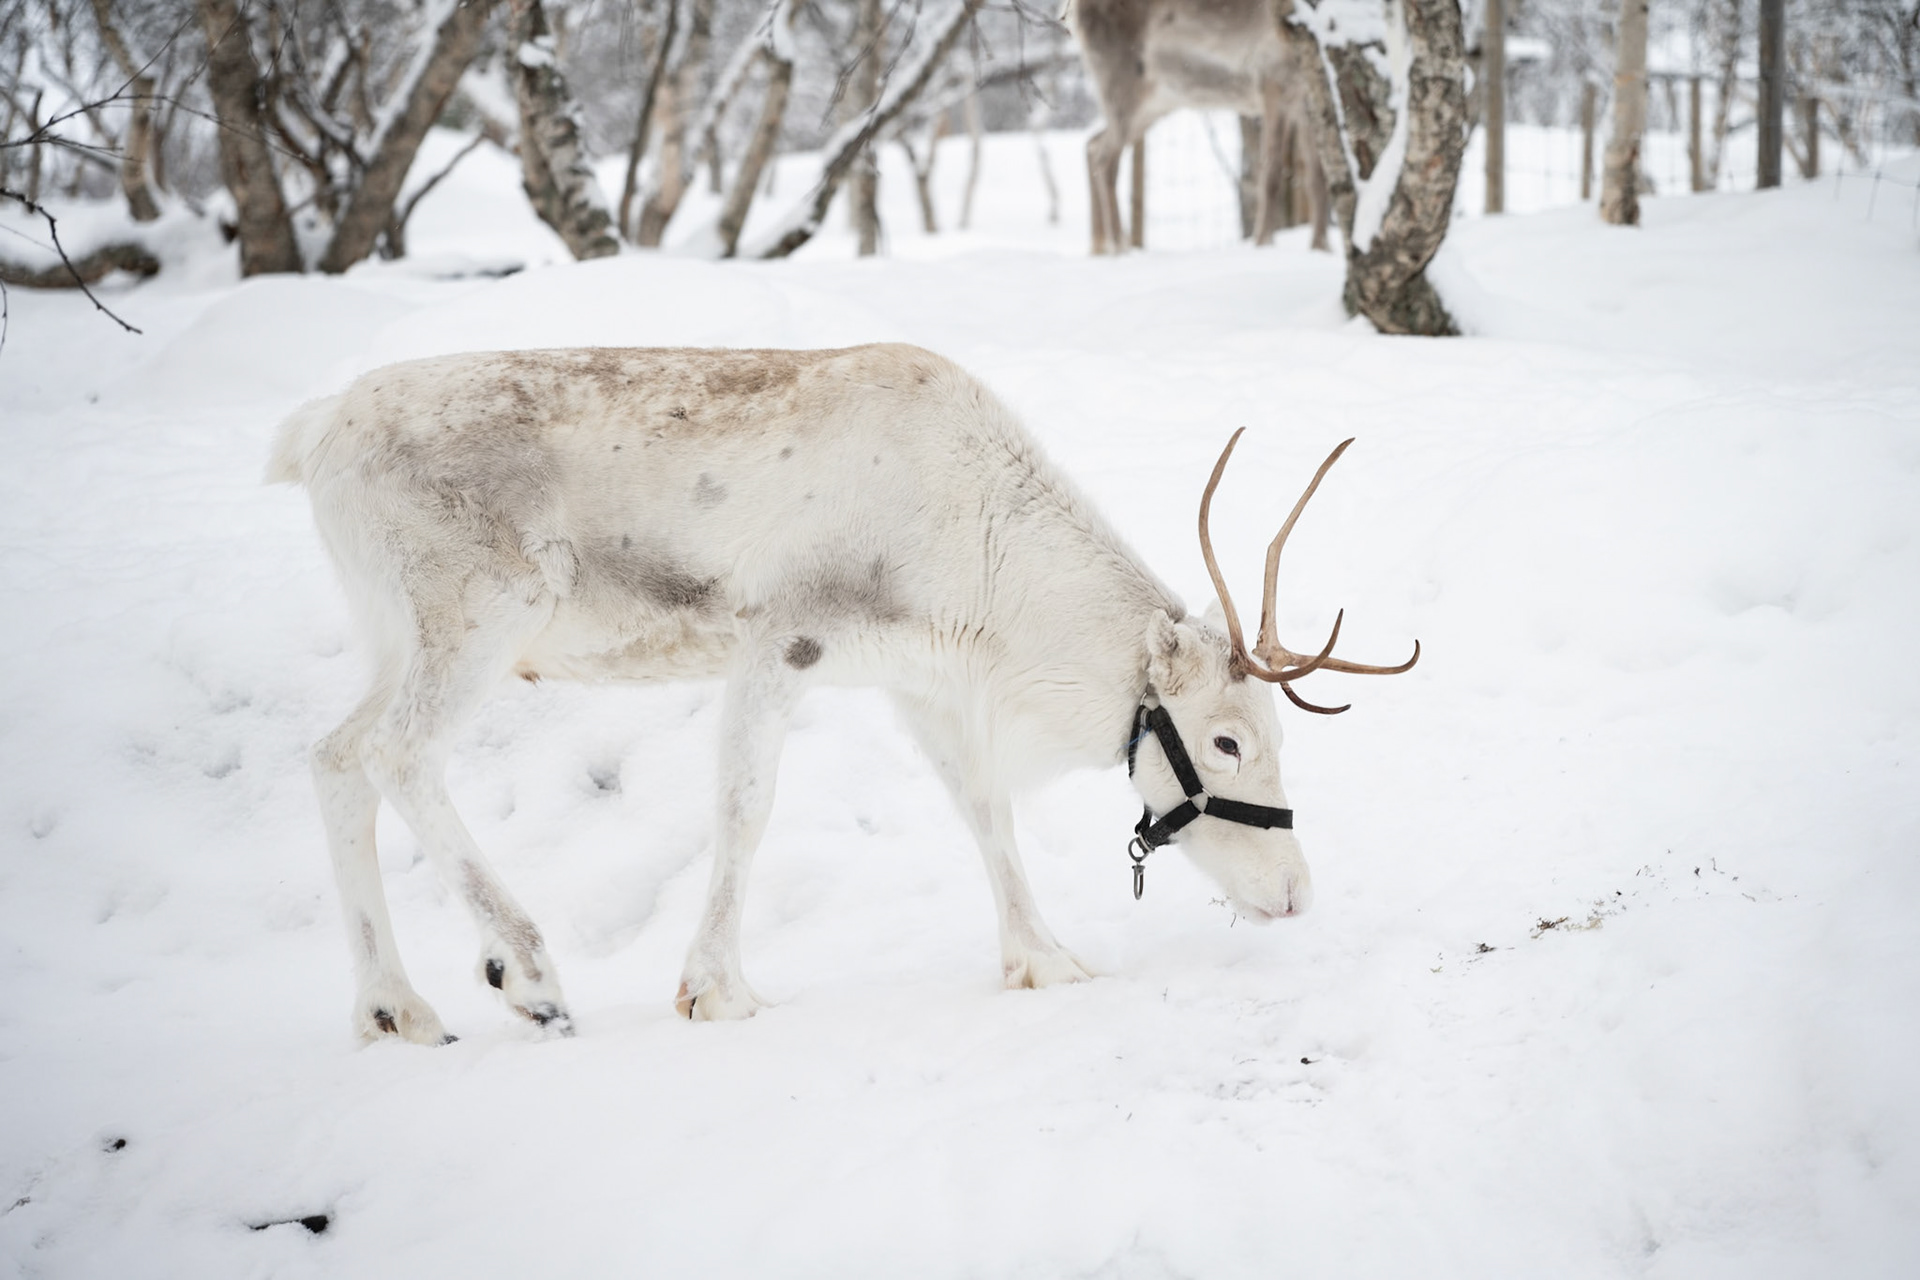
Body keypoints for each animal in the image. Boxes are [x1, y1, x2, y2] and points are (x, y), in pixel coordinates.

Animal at [269, 343, 1415, 1043]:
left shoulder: (916, 680)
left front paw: (1047, 961)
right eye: (1226, 742)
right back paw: (529, 974)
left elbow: (984, 811)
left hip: (395, 633)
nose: (1295, 892)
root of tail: (311, 433)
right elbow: (745, 808)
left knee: (334, 755)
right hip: (479, 614)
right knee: (397, 753)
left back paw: (394, 1008)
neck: (986, 566)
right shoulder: (785, 640)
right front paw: (717, 989)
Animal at [1069, 0, 1331, 256]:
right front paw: (1263, 244)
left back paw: (1103, 247)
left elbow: (1317, 176)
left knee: (1093, 144)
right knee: (1105, 159)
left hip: (1155, 104)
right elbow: (1271, 174)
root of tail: (1074, 9)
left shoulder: (1305, 96)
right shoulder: (1271, 78)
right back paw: (1119, 246)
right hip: (1121, 84)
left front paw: (1321, 248)